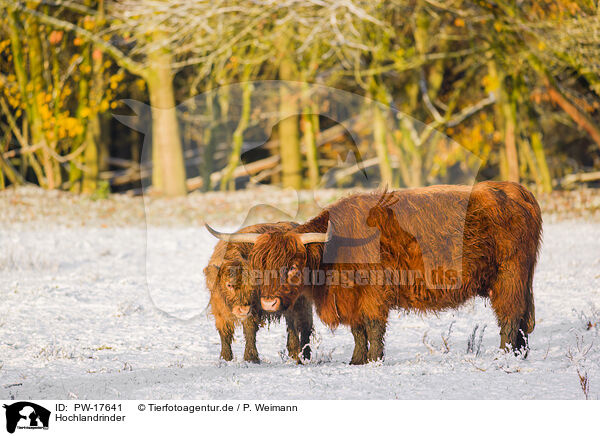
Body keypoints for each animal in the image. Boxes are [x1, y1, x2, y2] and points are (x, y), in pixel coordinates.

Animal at [203, 223, 312, 362]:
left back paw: (303, 356)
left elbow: (250, 329)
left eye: (253, 286)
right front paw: (225, 357)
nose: (242, 309)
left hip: (301, 303)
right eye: (229, 285)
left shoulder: (253, 309)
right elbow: (225, 332)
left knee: (304, 326)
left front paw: (251, 358)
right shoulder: (219, 308)